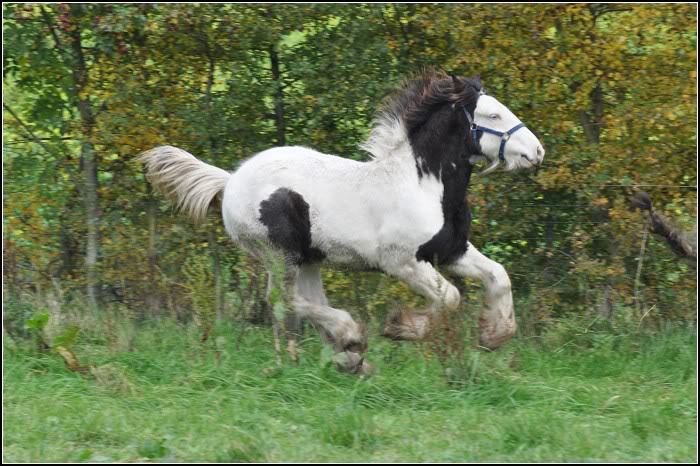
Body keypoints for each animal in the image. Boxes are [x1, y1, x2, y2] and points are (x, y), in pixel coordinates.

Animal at [141, 71, 548, 374]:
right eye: (492, 116)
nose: (537, 151)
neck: (422, 183)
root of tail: (229, 181)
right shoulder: (401, 262)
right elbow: (450, 297)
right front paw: (402, 328)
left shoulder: (452, 251)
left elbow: (498, 275)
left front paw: (494, 335)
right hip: (280, 255)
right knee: (282, 300)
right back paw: (346, 341)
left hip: (309, 259)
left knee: (300, 303)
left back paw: (338, 359)